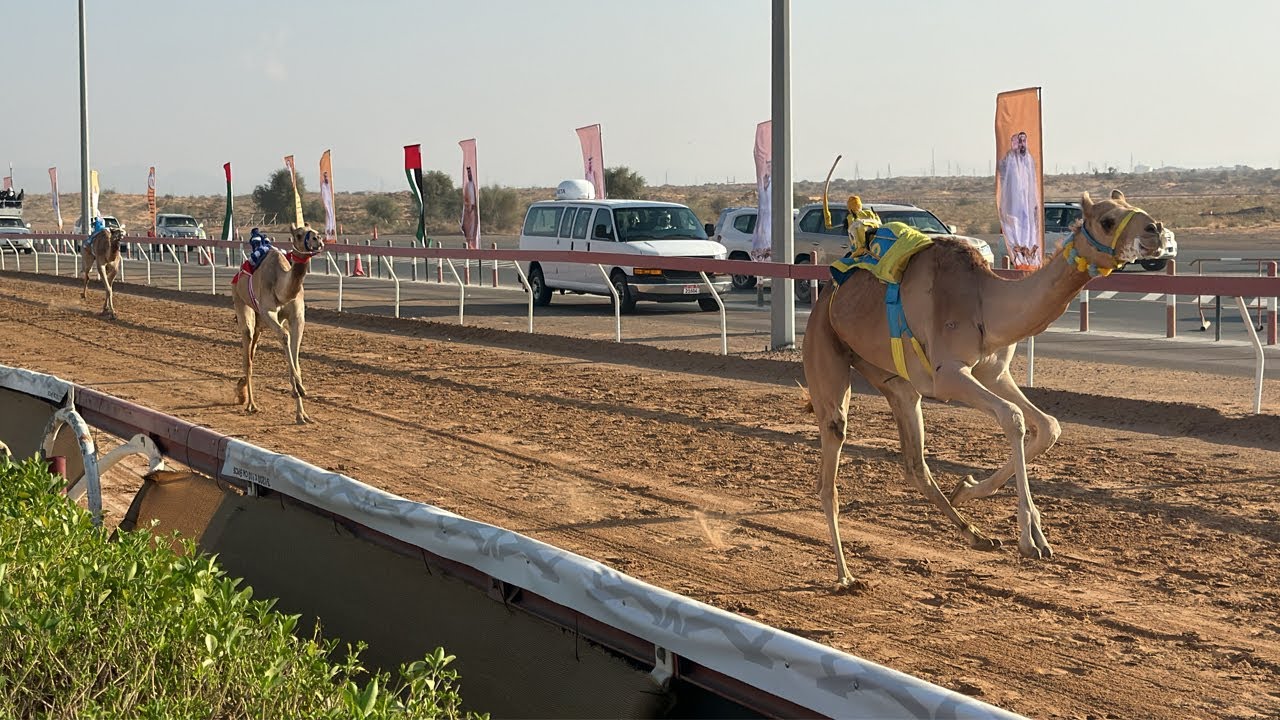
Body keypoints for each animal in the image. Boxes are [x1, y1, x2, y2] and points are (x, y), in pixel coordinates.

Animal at [234, 224, 327, 422]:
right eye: (298, 235)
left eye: (315, 230)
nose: (318, 239)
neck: (282, 289)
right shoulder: (268, 311)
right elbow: (284, 336)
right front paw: (298, 389)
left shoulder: (297, 317)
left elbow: (295, 351)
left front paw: (302, 413)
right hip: (241, 302)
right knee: (247, 352)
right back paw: (251, 404)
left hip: (260, 323)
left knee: (252, 350)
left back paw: (241, 388)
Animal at [803, 192, 1167, 589]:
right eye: (1107, 220)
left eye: (1133, 207)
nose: (1156, 230)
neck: (986, 304)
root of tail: (827, 296)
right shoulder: (949, 375)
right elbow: (1013, 417)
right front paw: (1032, 538)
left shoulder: (994, 373)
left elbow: (1048, 426)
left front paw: (968, 487)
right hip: (825, 350)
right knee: (829, 466)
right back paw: (845, 574)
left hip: (894, 380)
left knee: (915, 464)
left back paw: (977, 535)